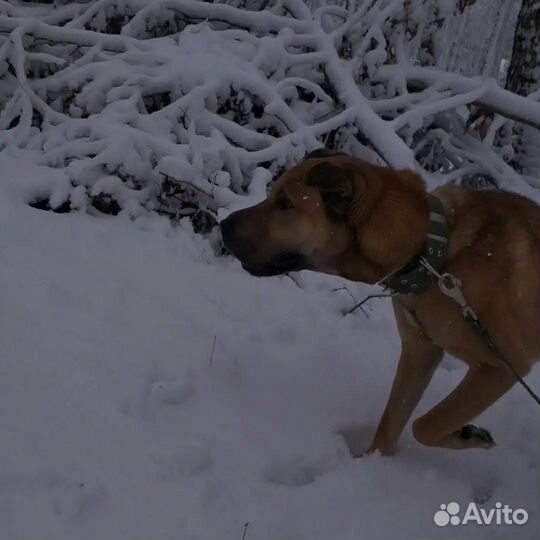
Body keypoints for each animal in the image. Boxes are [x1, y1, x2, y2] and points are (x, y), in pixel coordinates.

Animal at [220, 150, 540, 454]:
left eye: (285, 203)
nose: (222, 224)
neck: (428, 251)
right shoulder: (418, 353)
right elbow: (392, 421)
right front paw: (373, 461)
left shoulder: (501, 365)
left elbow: (425, 425)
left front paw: (465, 434)